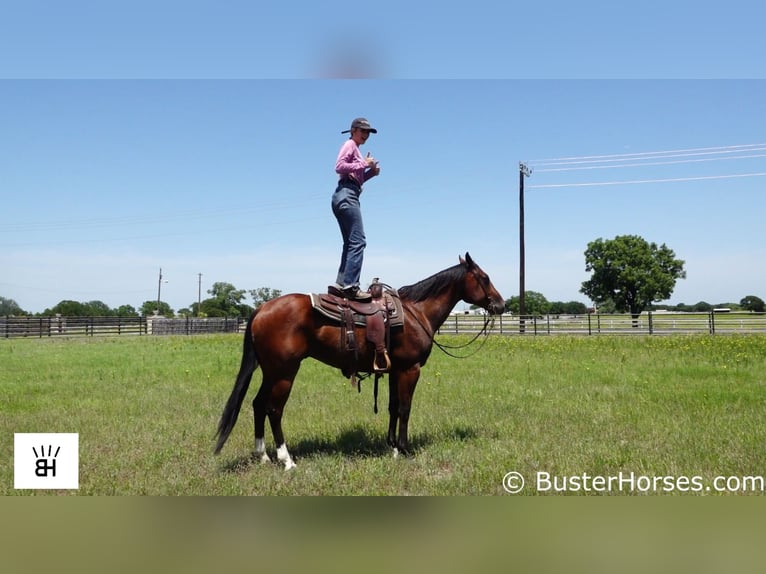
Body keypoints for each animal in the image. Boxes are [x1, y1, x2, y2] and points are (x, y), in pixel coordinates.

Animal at [213, 254, 508, 470]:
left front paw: (392, 447)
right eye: (484, 277)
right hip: (284, 372)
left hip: (270, 372)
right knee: (274, 409)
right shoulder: (410, 370)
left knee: (258, 404)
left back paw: (263, 456)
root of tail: (262, 308)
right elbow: (405, 408)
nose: (501, 305)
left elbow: (392, 408)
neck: (416, 312)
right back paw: (287, 460)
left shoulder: (394, 370)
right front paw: (405, 449)